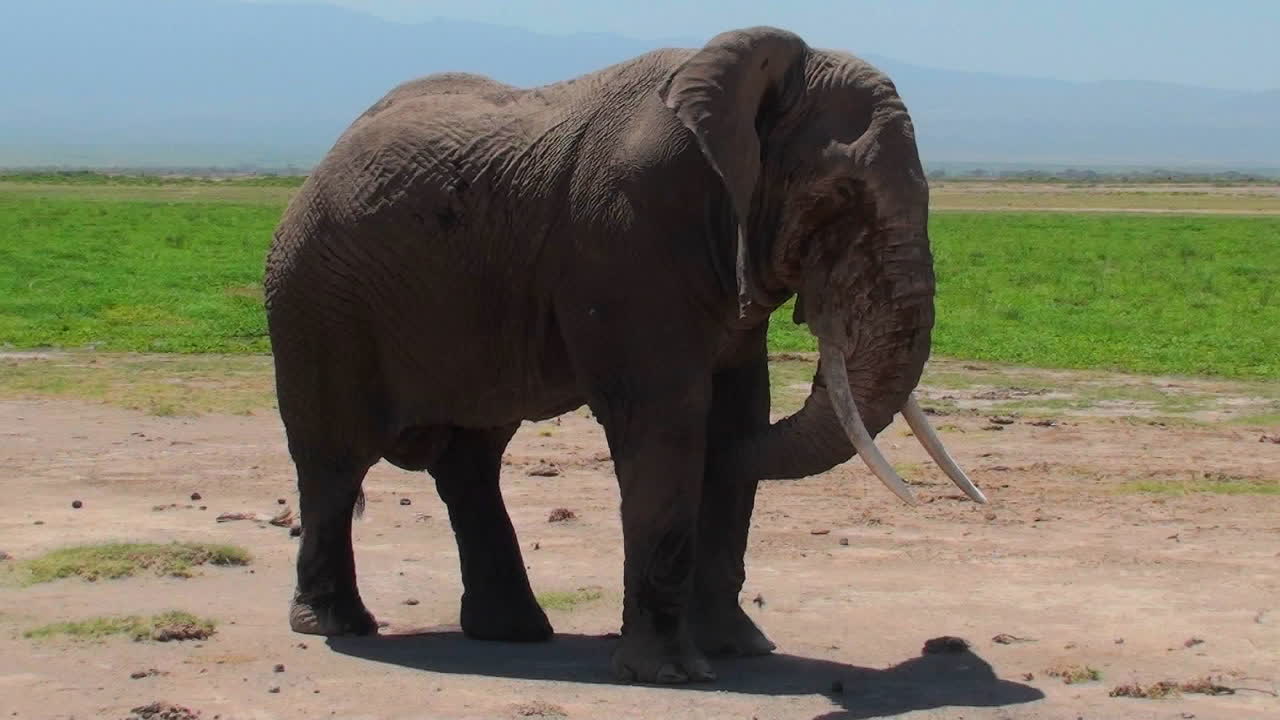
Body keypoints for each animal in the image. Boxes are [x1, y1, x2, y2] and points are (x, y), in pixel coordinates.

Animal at [263, 25, 986, 685]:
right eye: (836, 199)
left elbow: (739, 412)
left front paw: (741, 651)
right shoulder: (627, 233)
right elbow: (669, 418)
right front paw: (671, 674)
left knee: (471, 462)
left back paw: (514, 633)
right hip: (314, 301)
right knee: (334, 461)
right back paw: (336, 625)